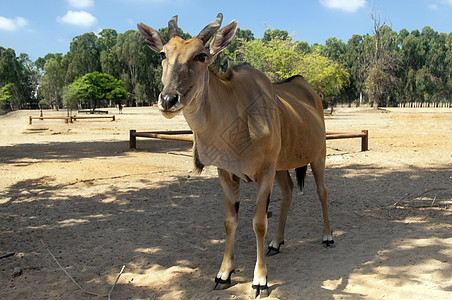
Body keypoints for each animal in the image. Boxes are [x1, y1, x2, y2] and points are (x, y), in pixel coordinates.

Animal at [137, 13, 332, 298]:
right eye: (163, 54)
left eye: (201, 56)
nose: (168, 99)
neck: (238, 116)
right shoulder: (227, 173)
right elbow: (230, 222)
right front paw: (224, 274)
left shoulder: (264, 173)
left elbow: (258, 223)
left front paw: (260, 280)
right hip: (281, 167)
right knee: (288, 193)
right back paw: (276, 243)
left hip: (318, 156)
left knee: (321, 192)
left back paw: (328, 236)